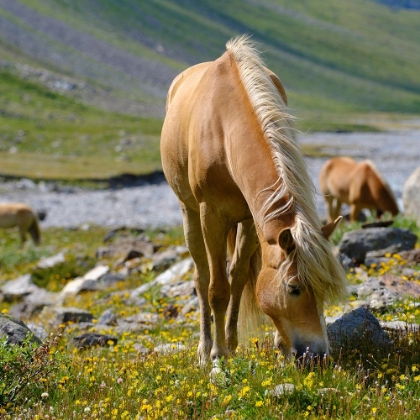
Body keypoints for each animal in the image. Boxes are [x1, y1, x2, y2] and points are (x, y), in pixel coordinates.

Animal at [159, 35, 346, 364]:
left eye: (324, 289)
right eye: (294, 288)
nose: (318, 355)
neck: (224, 128)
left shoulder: (250, 217)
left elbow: (238, 278)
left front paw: (241, 344)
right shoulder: (211, 216)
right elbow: (217, 288)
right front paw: (218, 354)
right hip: (189, 213)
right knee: (201, 276)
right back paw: (204, 349)